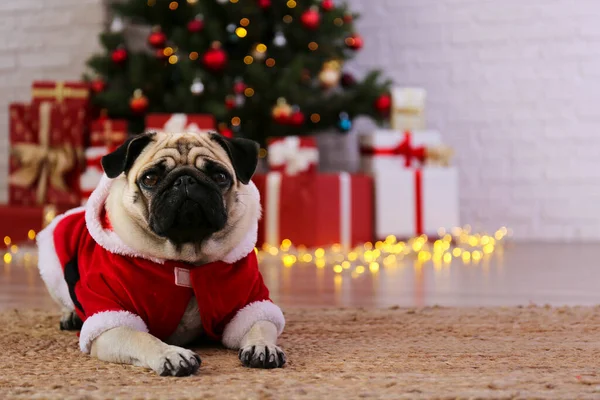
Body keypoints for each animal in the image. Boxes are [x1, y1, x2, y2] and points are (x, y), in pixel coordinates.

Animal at [37, 131, 286, 376]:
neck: (185, 258)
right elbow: (142, 338)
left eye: (220, 176)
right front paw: (171, 354)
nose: (185, 179)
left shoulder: (250, 303)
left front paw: (263, 346)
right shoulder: (112, 321)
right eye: (150, 179)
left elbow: (259, 324)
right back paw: (71, 316)